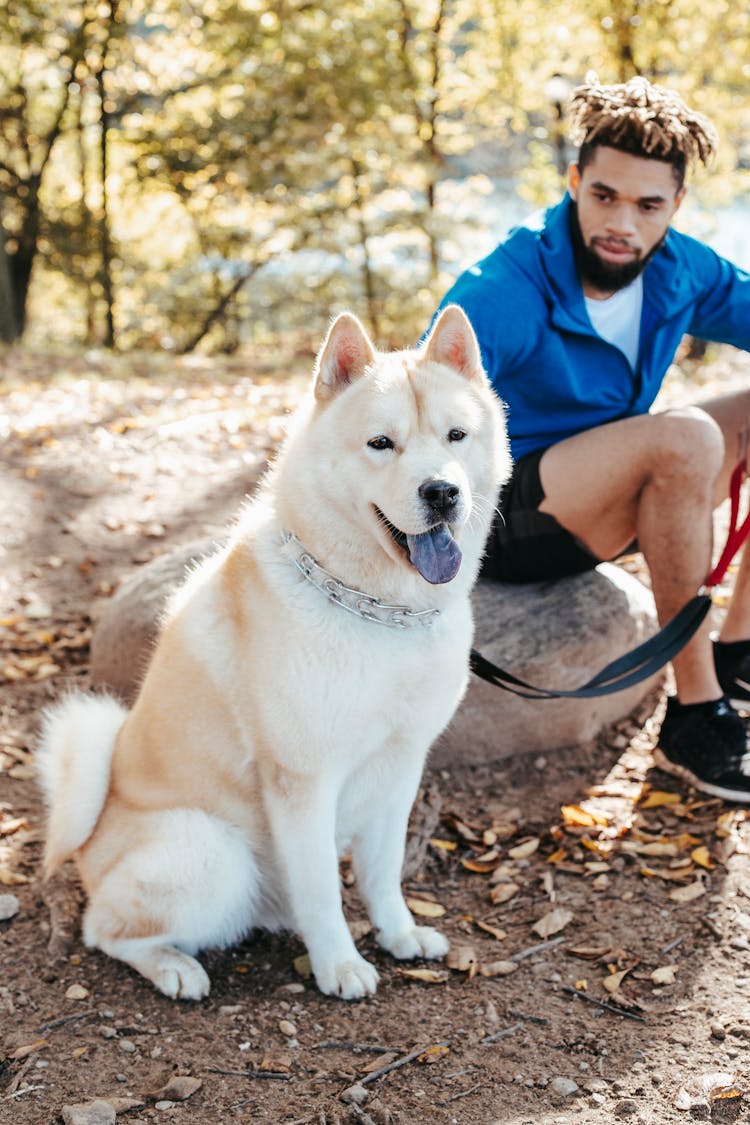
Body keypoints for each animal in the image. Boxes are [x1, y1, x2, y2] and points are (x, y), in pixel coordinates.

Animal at [36, 306, 510, 1003]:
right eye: (381, 443)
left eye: (456, 435)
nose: (442, 492)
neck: (377, 610)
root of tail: (91, 837)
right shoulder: (303, 785)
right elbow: (321, 892)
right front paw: (339, 965)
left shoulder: (400, 770)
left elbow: (382, 872)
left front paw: (398, 936)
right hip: (214, 855)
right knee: (104, 930)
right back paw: (174, 968)